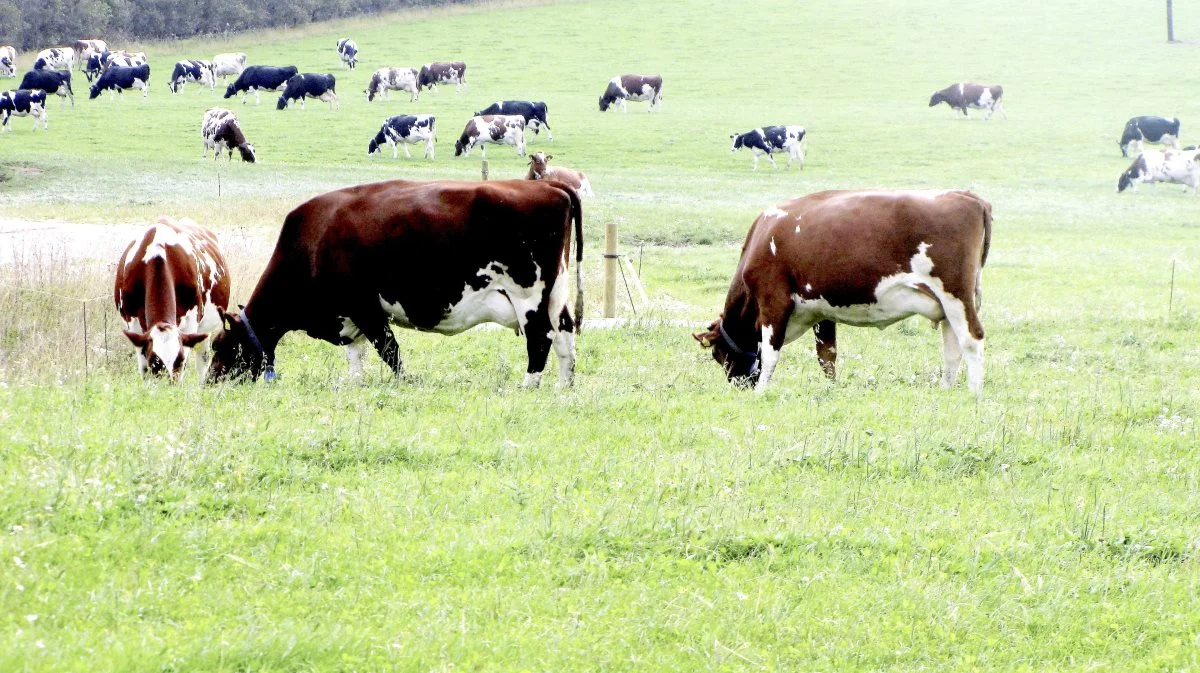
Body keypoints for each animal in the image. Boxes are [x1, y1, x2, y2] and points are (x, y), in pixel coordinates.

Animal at [115, 219, 231, 381]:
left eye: (179, 360)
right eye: (154, 361)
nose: (168, 385)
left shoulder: (190, 324)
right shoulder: (133, 324)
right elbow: (143, 369)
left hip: (204, 329)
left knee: (203, 359)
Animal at [208, 178, 588, 388]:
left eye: (223, 347)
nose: (210, 382)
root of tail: (548, 184)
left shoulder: (365, 307)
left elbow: (389, 352)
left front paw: (403, 382)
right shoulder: (348, 314)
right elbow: (355, 353)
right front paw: (355, 383)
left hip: (528, 295)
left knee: (540, 337)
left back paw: (528, 384)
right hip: (556, 293)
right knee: (565, 332)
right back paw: (564, 385)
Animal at [696, 189, 993, 393]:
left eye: (717, 355)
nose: (739, 386)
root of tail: (967, 196)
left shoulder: (773, 300)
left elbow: (770, 353)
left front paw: (761, 392)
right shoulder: (820, 309)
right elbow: (827, 355)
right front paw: (831, 388)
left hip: (955, 293)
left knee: (972, 338)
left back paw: (974, 393)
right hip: (947, 304)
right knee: (952, 346)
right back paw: (946, 389)